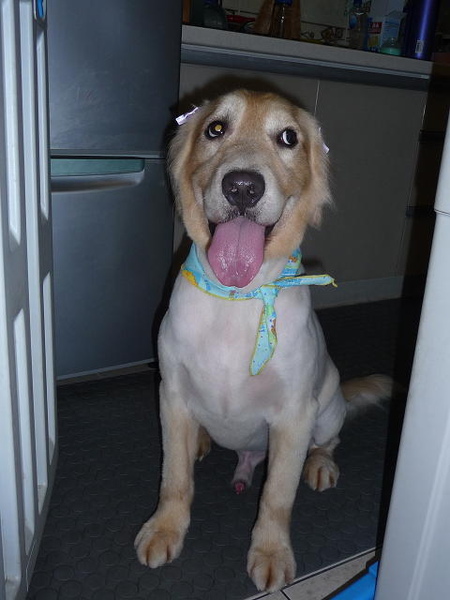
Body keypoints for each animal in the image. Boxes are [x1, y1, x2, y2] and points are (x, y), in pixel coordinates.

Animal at [135, 89, 392, 592]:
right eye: (215, 128)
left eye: (288, 137)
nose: (242, 187)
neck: (238, 296)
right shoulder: (170, 393)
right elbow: (173, 478)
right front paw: (165, 529)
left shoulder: (294, 415)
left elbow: (277, 496)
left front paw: (271, 552)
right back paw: (201, 442)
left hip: (326, 408)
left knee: (328, 441)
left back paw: (320, 464)